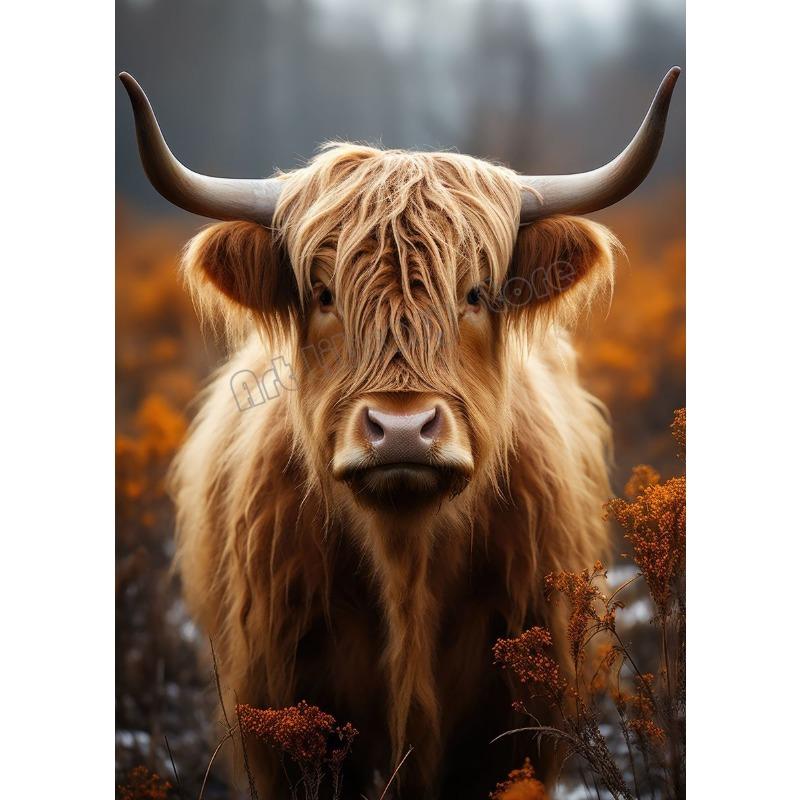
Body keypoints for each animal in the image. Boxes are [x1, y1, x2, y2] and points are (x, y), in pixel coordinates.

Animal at [120, 67, 679, 799]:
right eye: (324, 294)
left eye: (476, 293)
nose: (404, 430)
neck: (405, 559)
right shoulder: (284, 704)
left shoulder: (513, 720)